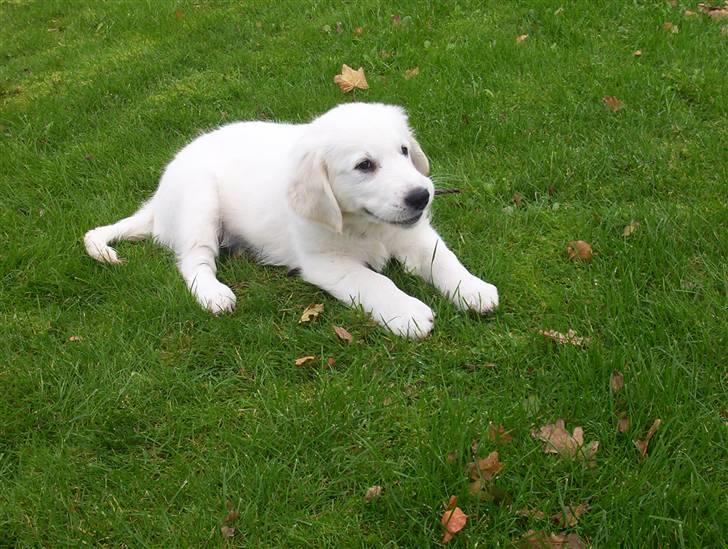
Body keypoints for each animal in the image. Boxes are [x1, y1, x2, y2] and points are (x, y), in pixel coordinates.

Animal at [82, 100, 498, 336]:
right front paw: (408, 313)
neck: (362, 224)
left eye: (404, 151)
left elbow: (442, 258)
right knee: (193, 261)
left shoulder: (414, 234)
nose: (421, 196)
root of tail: (157, 199)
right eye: (364, 166)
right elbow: (374, 282)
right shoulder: (325, 263)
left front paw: (473, 289)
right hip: (199, 202)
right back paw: (214, 294)